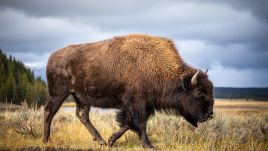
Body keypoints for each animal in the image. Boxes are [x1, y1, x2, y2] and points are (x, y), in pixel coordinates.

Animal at [44, 34, 216, 147]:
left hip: (81, 98)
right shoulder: (137, 102)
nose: (210, 115)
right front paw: (149, 145)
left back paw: (100, 141)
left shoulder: (144, 105)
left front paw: (111, 140)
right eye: (199, 93)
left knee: (82, 115)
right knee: (49, 112)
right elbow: (140, 123)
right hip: (59, 93)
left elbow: (128, 123)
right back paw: (46, 140)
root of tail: (51, 57)